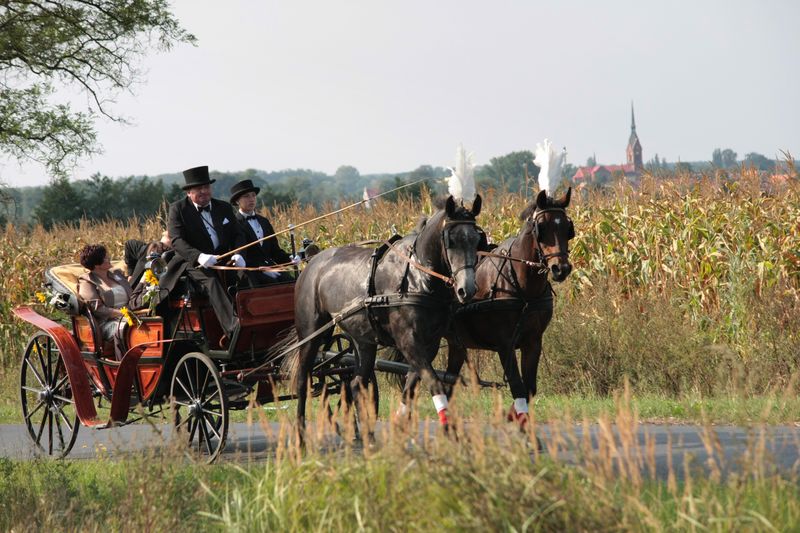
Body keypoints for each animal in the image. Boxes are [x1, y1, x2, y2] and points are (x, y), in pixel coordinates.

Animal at [396, 187, 572, 424]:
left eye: (567, 228)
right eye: (541, 227)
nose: (561, 268)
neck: (522, 287)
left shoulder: (533, 342)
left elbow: (529, 388)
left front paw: (512, 414)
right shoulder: (505, 344)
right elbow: (518, 386)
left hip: (454, 344)